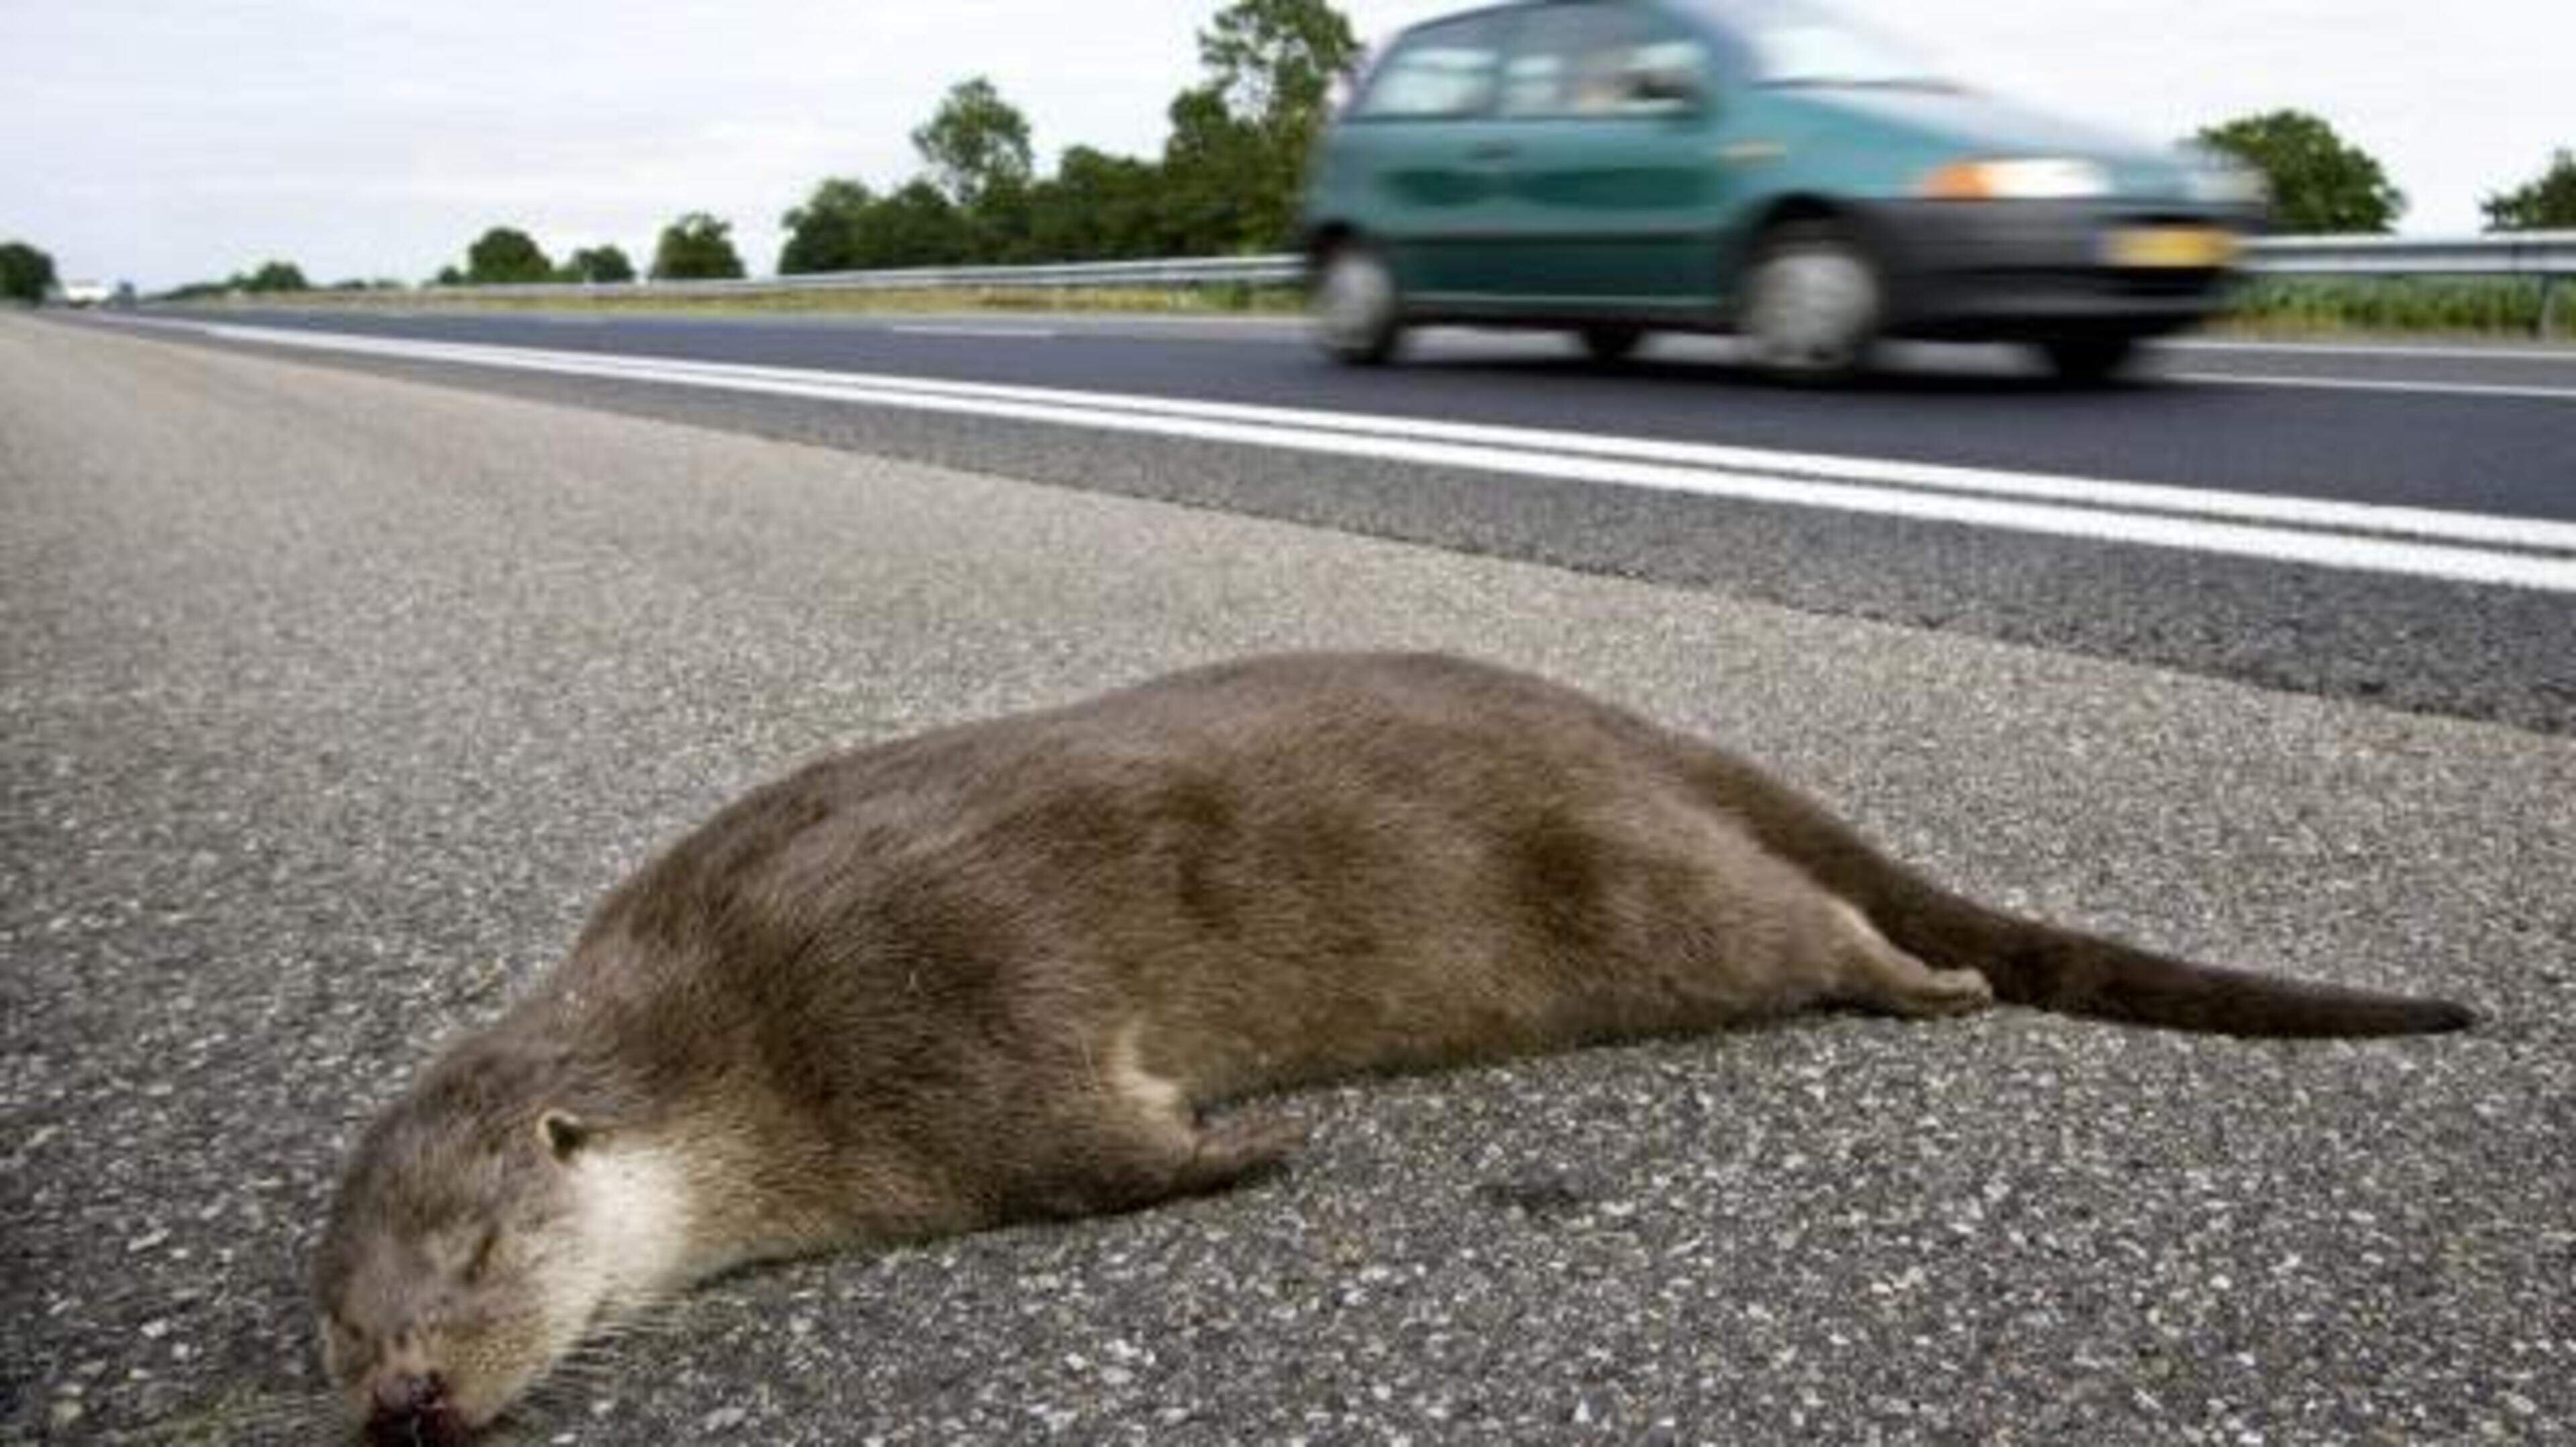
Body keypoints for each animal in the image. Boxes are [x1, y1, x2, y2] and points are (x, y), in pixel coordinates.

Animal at [314, 652, 2472, 1443]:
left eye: (487, 1255)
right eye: (339, 1322)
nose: (406, 1394)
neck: (729, 1033)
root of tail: (1631, 726)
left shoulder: (930, 1027)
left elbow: (1087, 1146)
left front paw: (1247, 1147)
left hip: (1652, 896)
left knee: (1817, 936)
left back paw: (1928, 987)